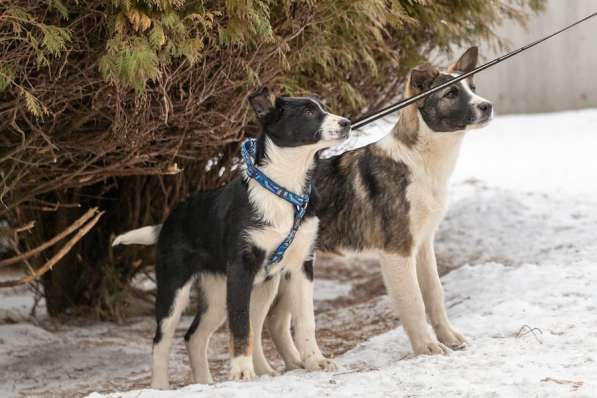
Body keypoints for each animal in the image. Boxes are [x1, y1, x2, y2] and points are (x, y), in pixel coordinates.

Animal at [145, 88, 350, 388]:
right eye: (308, 112)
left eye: (324, 107)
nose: (347, 123)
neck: (283, 190)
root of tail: (171, 217)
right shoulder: (242, 267)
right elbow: (241, 324)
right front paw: (241, 373)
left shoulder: (301, 266)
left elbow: (305, 321)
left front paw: (315, 360)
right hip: (175, 287)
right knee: (162, 339)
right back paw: (160, 385)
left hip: (236, 290)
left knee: (195, 336)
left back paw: (211, 382)